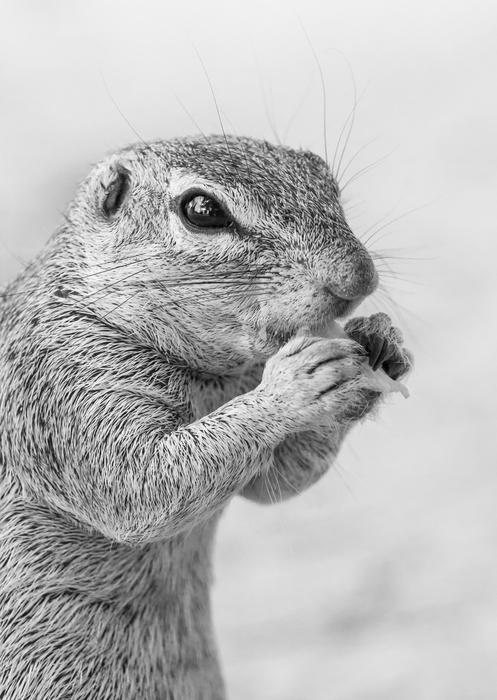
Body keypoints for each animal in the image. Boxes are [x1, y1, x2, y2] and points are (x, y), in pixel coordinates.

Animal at [0, 134, 412, 699]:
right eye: (202, 210)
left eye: (322, 174)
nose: (360, 278)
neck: (210, 380)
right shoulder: (58, 387)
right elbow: (138, 486)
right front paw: (295, 383)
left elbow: (276, 481)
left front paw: (380, 341)